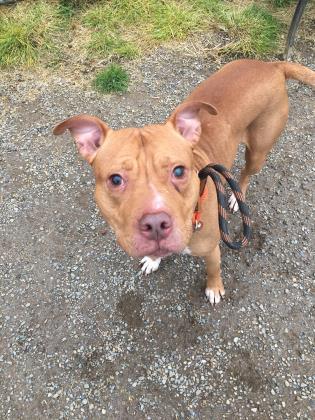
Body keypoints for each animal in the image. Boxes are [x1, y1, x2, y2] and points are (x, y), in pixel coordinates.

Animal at [53, 59, 314, 304]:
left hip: (259, 150)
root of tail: (272, 65)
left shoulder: (211, 249)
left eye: (179, 171)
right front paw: (153, 260)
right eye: (115, 179)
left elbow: (213, 269)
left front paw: (214, 288)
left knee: (247, 173)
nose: (155, 224)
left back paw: (236, 198)